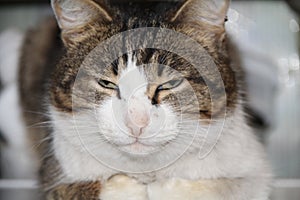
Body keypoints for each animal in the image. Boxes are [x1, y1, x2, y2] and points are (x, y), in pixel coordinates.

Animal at [17, 0, 274, 199]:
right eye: (106, 83)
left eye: (170, 84)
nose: (136, 124)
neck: (147, 171)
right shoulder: (54, 171)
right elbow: (75, 189)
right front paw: (130, 189)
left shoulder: (253, 167)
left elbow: (225, 185)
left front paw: (161, 189)